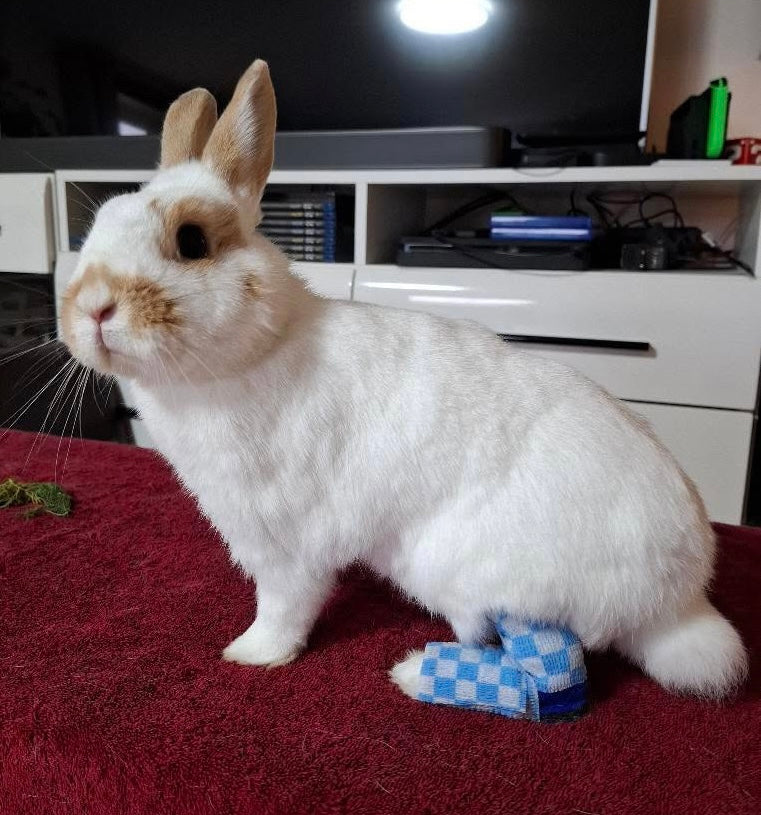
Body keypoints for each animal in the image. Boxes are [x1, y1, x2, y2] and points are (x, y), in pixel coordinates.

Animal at [60, 59, 747, 700]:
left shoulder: (287, 542)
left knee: (544, 663)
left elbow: (286, 604)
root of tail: (676, 600)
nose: (92, 307)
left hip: (460, 568)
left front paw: (253, 654)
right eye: (96, 228)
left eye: (192, 240)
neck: (256, 351)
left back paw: (421, 674)